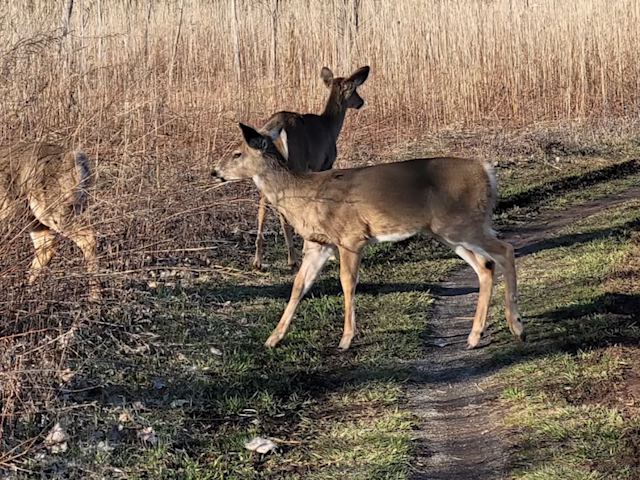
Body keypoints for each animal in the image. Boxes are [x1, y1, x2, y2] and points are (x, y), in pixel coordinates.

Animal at [0, 142, 100, 301]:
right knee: (46, 243)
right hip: (34, 215)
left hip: (51, 211)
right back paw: (26, 288)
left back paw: (95, 296)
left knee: (87, 237)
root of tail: (75, 157)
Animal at [212, 124, 526, 350]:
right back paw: (474, 336)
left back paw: (516, 326)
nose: (214, 171)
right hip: (447, 232)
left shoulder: (350, 237)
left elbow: (347, 283)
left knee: (505, 250)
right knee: (485, 266)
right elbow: (299, 286)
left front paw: (345, 339)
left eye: (237, 153)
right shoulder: (318, 243)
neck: (304, 195)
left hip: (462, 223)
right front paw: (273, 338)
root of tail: (487, 171)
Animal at [250, 65, 370, 270]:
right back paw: (292, 258)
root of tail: (275, 127)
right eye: (355, 90)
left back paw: (258, 260)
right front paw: (328, 253)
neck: (330, 127)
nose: (361, 102)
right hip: (294, 160)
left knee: (262, 207)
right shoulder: (325, 163)